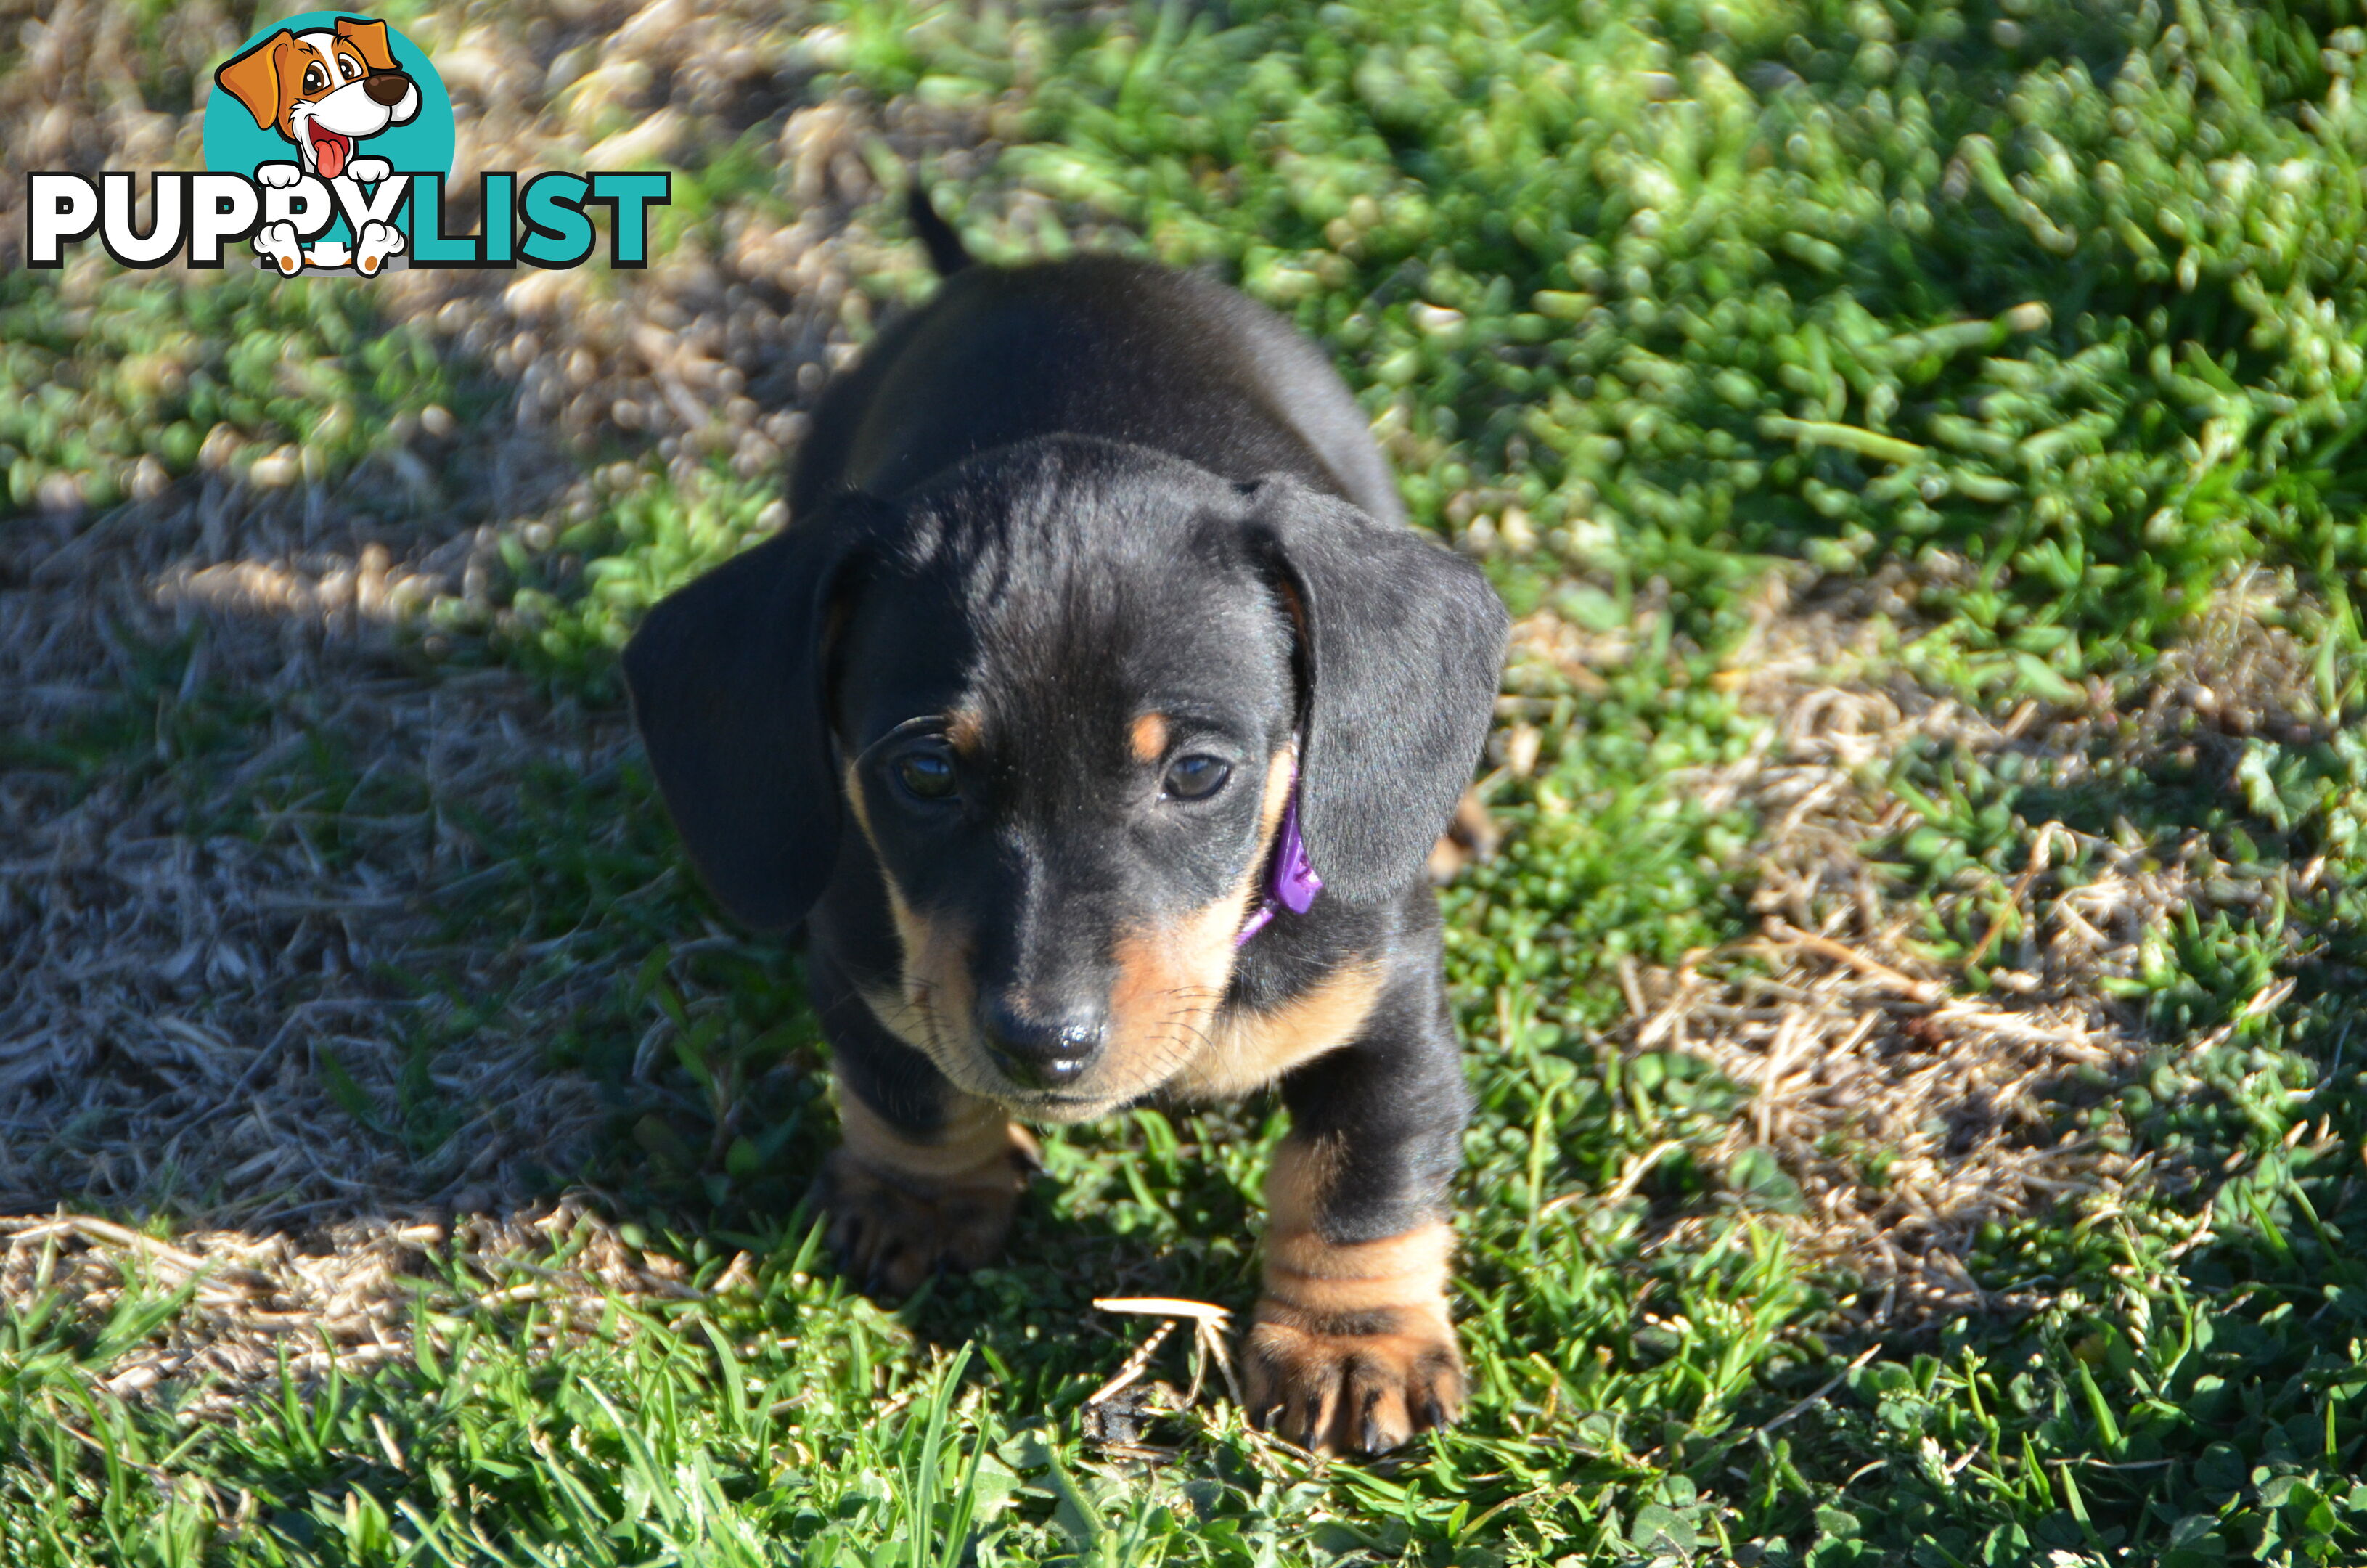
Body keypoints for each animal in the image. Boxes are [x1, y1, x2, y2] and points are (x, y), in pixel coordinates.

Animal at [629, 196, 1505, 1458]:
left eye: (1198, 772)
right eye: (925, 770)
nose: (1043, 1047)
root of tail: (1017, 270)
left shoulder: (1382, 1011)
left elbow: (1362, 1177)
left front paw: (1353, 1344)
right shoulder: (867, 958)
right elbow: (907, 1086)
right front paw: (922, 1197)